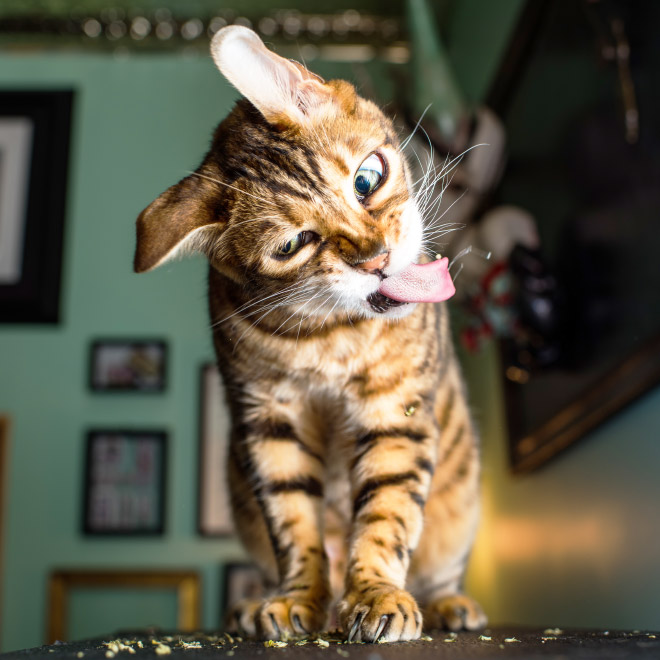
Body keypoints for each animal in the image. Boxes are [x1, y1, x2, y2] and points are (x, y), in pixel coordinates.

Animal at [134, 27, 484, 644]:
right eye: (293, 245)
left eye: (367, 179)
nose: (375, 259)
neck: (331, 337)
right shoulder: (270, 423)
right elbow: (294, 524)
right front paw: (298, 597)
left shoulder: (396, 410)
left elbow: (387, 515)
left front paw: (375, 593)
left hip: (459, 507)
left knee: (436, 570)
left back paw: (448, 604)